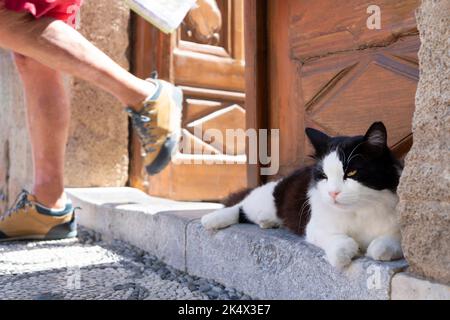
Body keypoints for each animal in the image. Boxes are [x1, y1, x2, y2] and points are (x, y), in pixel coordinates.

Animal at [203, 122, 404, 268]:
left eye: (352, 172)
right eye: (324, 176)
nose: (333, 192)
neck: (359, 212)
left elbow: (384, 246)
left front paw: (375, 248)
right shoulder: (314, 226)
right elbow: (337, 241)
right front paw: (343, 253)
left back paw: (266, 223)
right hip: (269, 198)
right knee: (242, 204)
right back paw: (211, 219)